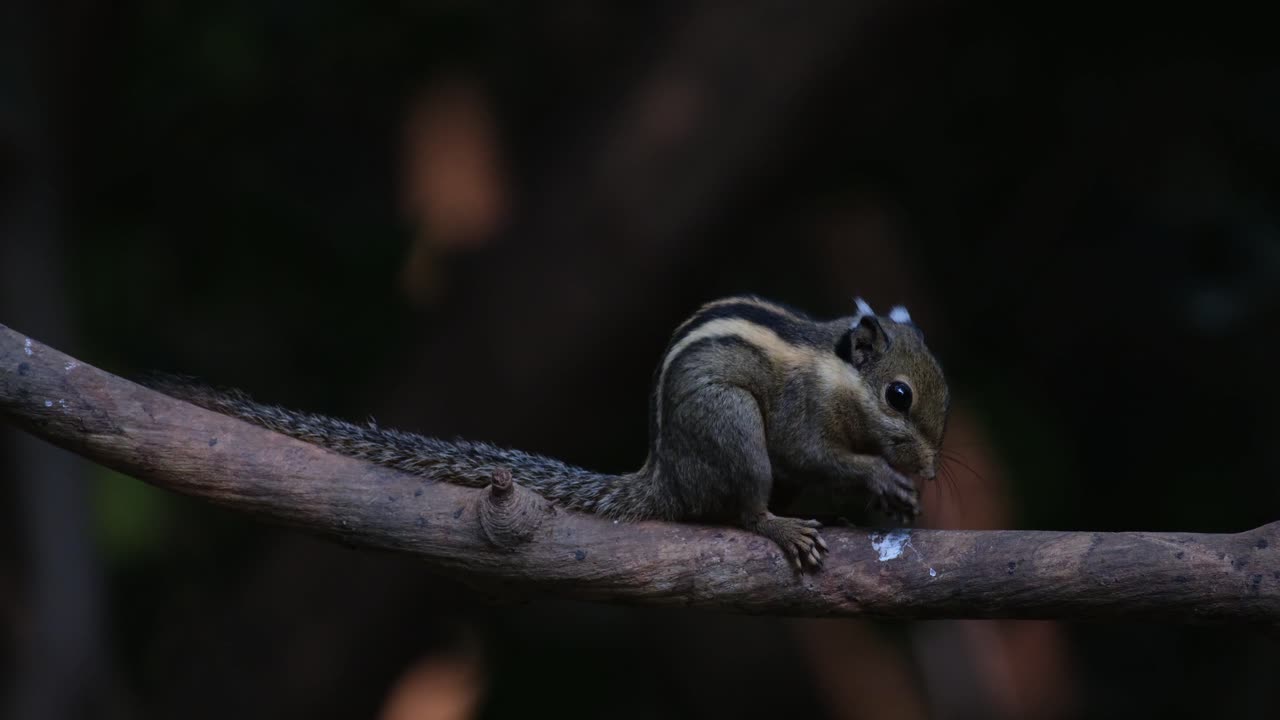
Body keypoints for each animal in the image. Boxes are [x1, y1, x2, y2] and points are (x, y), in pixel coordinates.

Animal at [146, 295, 949, 571]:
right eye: (899, 396)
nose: (937, 468)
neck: (839, 379)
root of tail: (664, 473)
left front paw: (899, 496)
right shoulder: (795, 414)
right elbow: (812, 451)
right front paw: (882, 476)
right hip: (731, 429)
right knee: (743, 506)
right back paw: (780, 526)